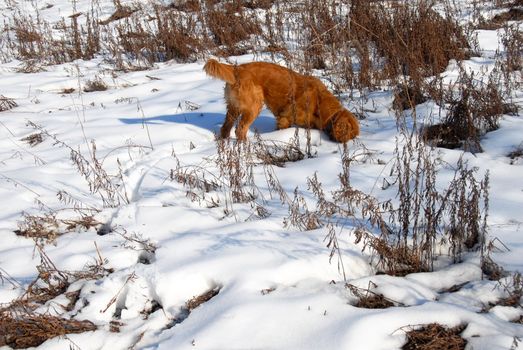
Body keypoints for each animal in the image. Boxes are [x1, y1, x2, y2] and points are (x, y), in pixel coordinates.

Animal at [203, 58, 358, 142]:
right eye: (350, 133)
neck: (320, 102)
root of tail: (237, 68)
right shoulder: (285, 117)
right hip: (254, 106)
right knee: (240, 130)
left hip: (233, 108)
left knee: (225, 128)